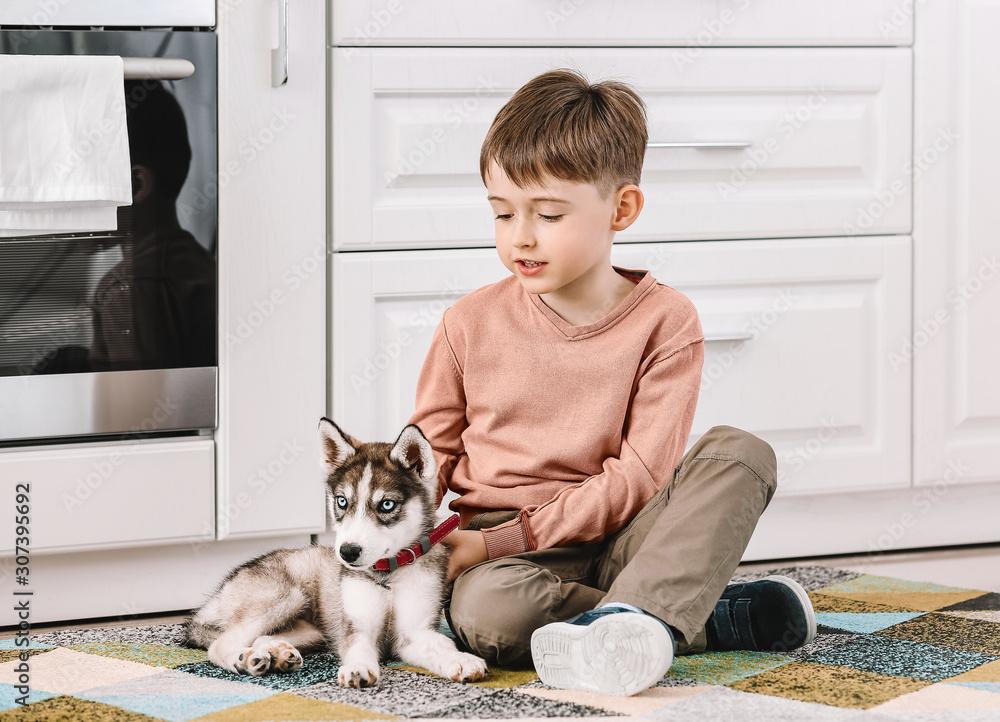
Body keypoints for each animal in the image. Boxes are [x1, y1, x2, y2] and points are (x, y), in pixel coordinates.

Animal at [186, 416, 490, 688]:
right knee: (220, 643)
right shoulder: (356, 626)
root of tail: (220, 592)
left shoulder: (415, 632)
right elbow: (357, 647)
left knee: (259, 638)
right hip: (287, 595)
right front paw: (358, 668)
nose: (347, 552)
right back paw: (248, 660)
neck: (387, 577)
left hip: (312, 631)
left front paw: (461, 660)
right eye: (342, 501)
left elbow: (440, 645)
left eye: (387, 505)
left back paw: (279, 654)